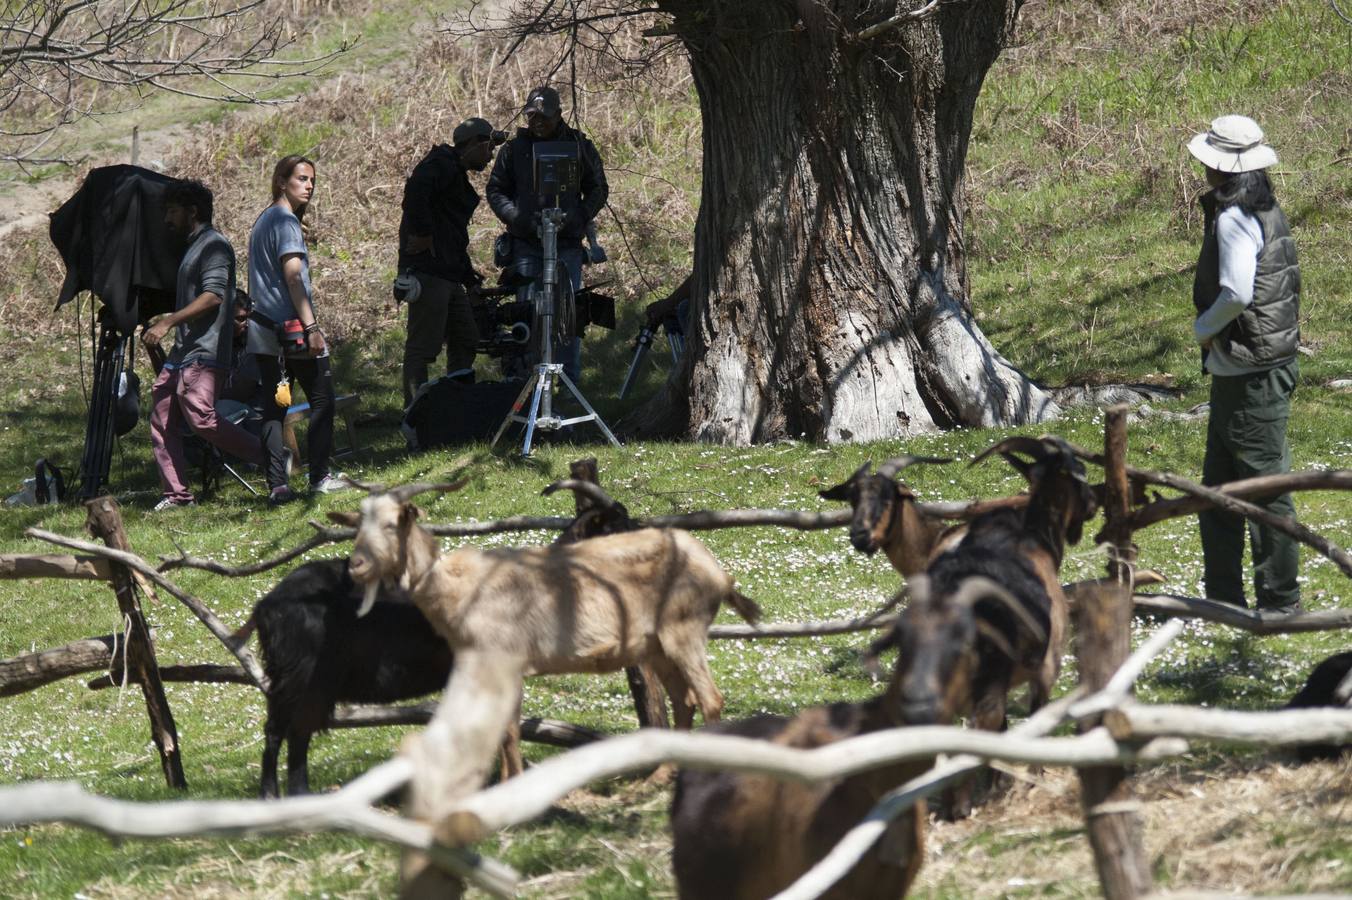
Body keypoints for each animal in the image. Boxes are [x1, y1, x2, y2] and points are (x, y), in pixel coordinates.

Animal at [329, 483, 762, 735]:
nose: (356, 565)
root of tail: (718, 572)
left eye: (391, 525)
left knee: (710, 699)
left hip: (683, 632)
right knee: (684, 701)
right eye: (359, 527)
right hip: (659, 646)